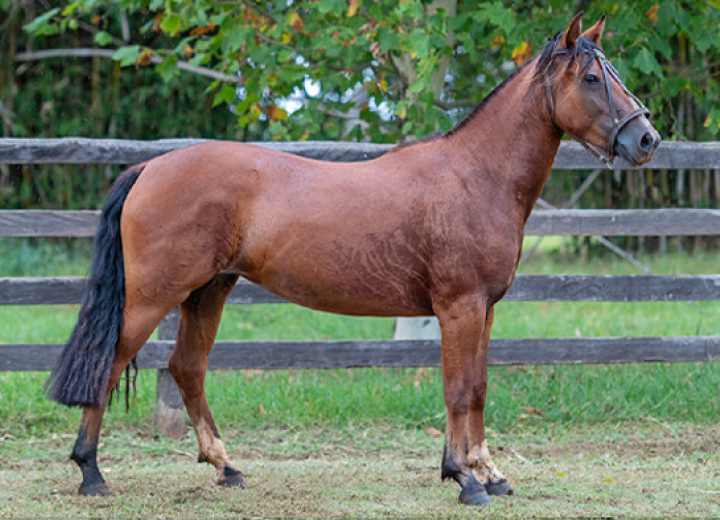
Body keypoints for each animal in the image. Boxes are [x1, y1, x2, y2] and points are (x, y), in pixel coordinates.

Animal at [47, 13, 660, 508]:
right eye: (591, 78)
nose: (647, 139)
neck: (476, 175)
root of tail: (150, 167)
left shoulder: (485, 309)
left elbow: (479, 388)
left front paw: (489, 472)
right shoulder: (459, 307)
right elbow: (458, 389)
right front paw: (465, 480)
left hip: (209, 290)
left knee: (187, 368)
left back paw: (227, 468)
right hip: (154, 295)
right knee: (109, 363)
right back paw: (92, 475)